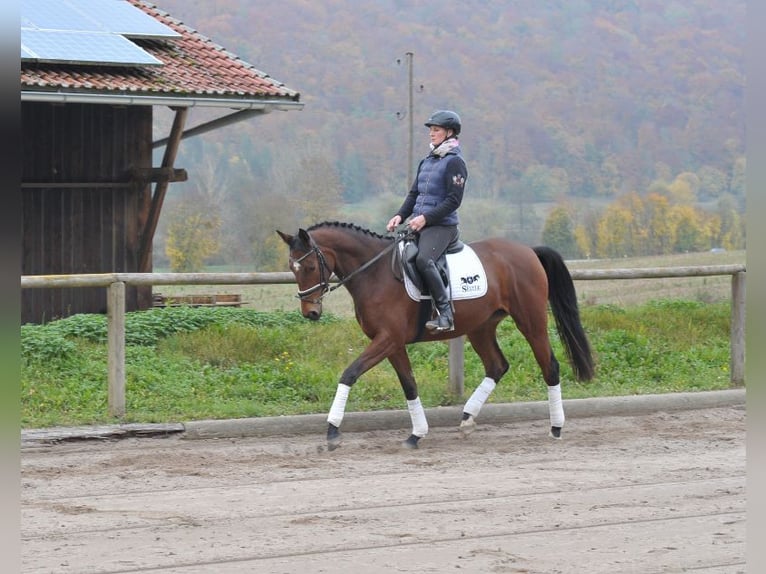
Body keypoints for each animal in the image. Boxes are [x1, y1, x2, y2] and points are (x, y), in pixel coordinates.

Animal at [280, 223, 596, 452]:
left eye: (310, 267)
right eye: (292, 268)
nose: (310, 312)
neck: (374, 273)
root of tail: (528, 251)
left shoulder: (387, 339)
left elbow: (349, 373)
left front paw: (332, 431)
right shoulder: (393, 344)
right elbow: (409, 385)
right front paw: (416, 434)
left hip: (531, 321)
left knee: (549, 366)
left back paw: (556, 427)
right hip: (481, 327)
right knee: (497, 366)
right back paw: (467, 419)